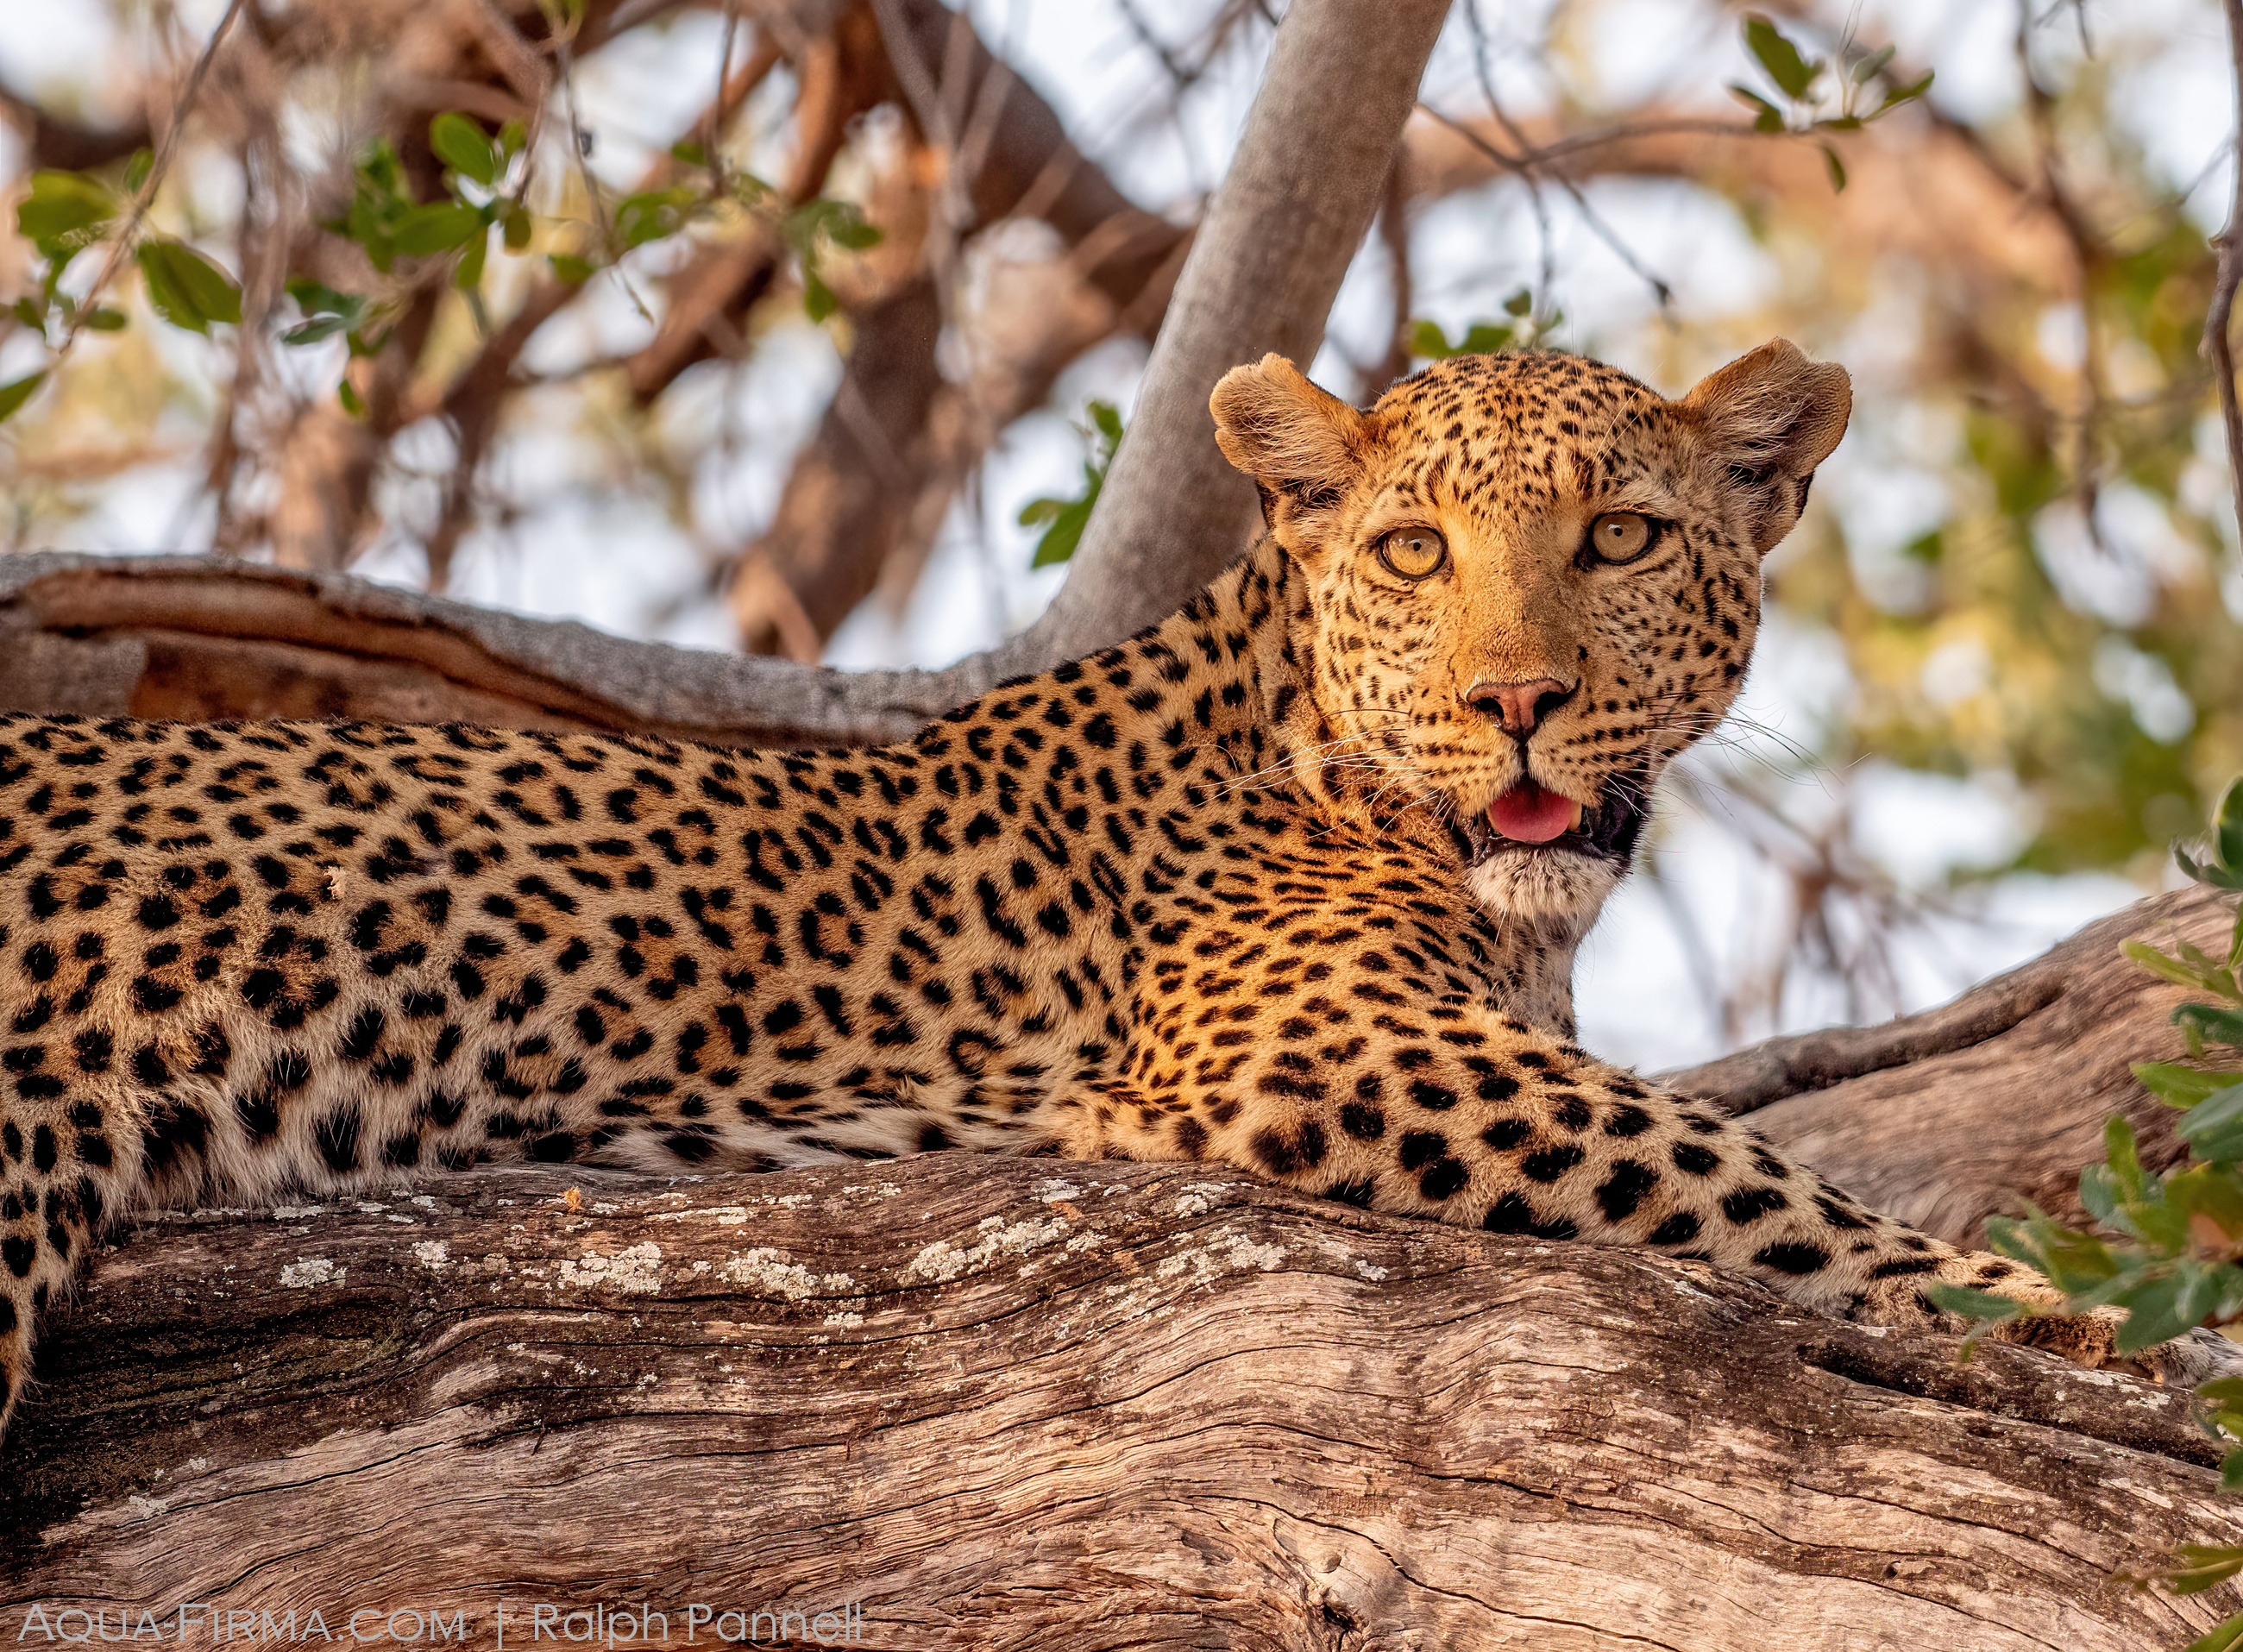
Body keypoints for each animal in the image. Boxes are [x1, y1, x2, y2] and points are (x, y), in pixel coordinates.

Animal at [0, 338, 2230, 1439]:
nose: (1515, 702)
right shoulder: (1311, 1037)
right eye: (1413, 551)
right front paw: (2087, 1326)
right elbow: (1741, 1178)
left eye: (1617, 537)